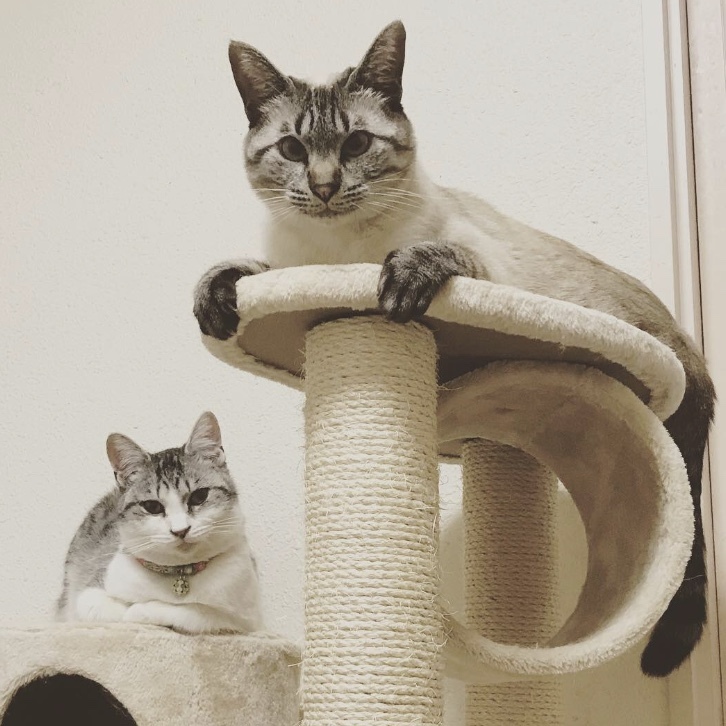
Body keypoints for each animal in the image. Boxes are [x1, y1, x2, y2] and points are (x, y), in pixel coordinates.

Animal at [56, 412, 262, 634]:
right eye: (152, 506)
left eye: (199, 496)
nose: (181, 530)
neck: (179, 573)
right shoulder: (87, 597)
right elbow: (109, 609)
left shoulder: (245, 619)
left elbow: (194, 611)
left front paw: (142, 610)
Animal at [192, 21, 715, 676]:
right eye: (291, 150)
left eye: (357, 143)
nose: (324, 186)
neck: (341, 254)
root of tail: (685, 343)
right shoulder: (290, 274)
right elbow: (243, 270)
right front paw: (214, 297)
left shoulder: (482, 268)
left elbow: (428, 258)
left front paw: (400, 284)